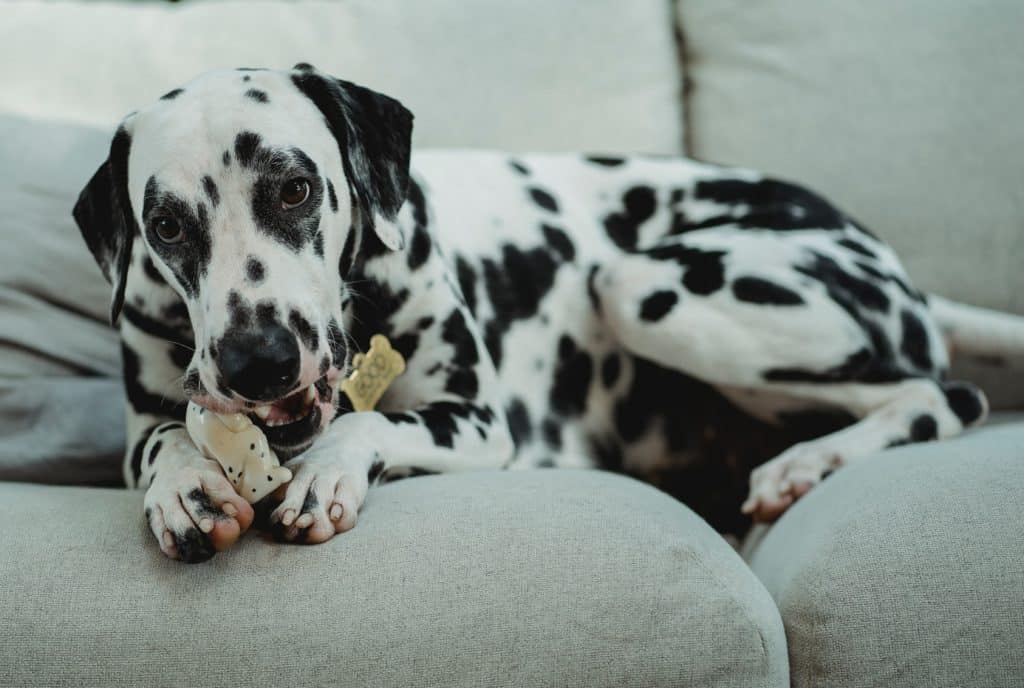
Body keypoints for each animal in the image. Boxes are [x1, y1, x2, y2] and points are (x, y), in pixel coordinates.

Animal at [68, 64, 1019, 561]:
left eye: (294, 187)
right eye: (167, 225)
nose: (258, 361)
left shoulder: (480, 419)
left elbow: (370, 424)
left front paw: (327, 472)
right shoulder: (148, 416)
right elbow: (167, 438)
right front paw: (185, 486)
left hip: (647, 289)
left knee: (940, 395)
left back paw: (805, 465)